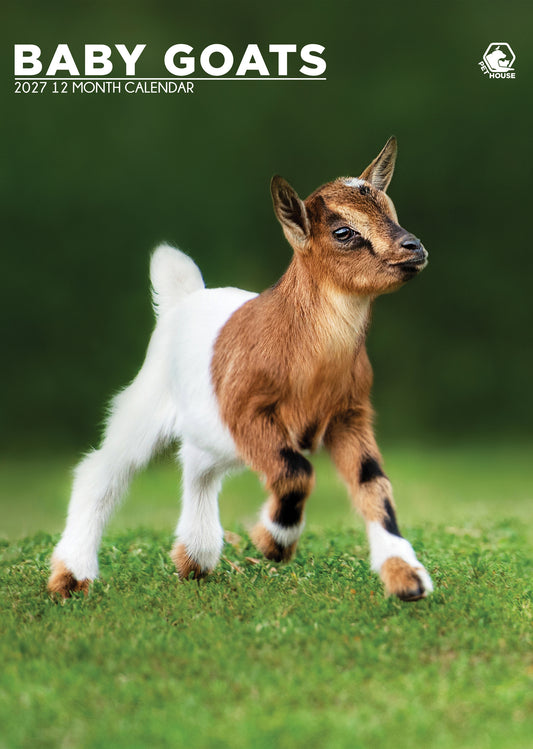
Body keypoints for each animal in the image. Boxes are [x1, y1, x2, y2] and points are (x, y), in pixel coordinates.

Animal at [48, 137, 433, 602]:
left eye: (392, 211)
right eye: (343, 232)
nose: (415, 248)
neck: (307, 356)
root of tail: (184, 298)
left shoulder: (349, 415)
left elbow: (373, 485)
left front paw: (407, 579)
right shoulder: (248, 412)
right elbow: (296, 472)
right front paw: (273, 543)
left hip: (214, 433)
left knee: (196, 465)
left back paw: (194, 558)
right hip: (147, 404)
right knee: (102, 471)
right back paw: (71, 577)